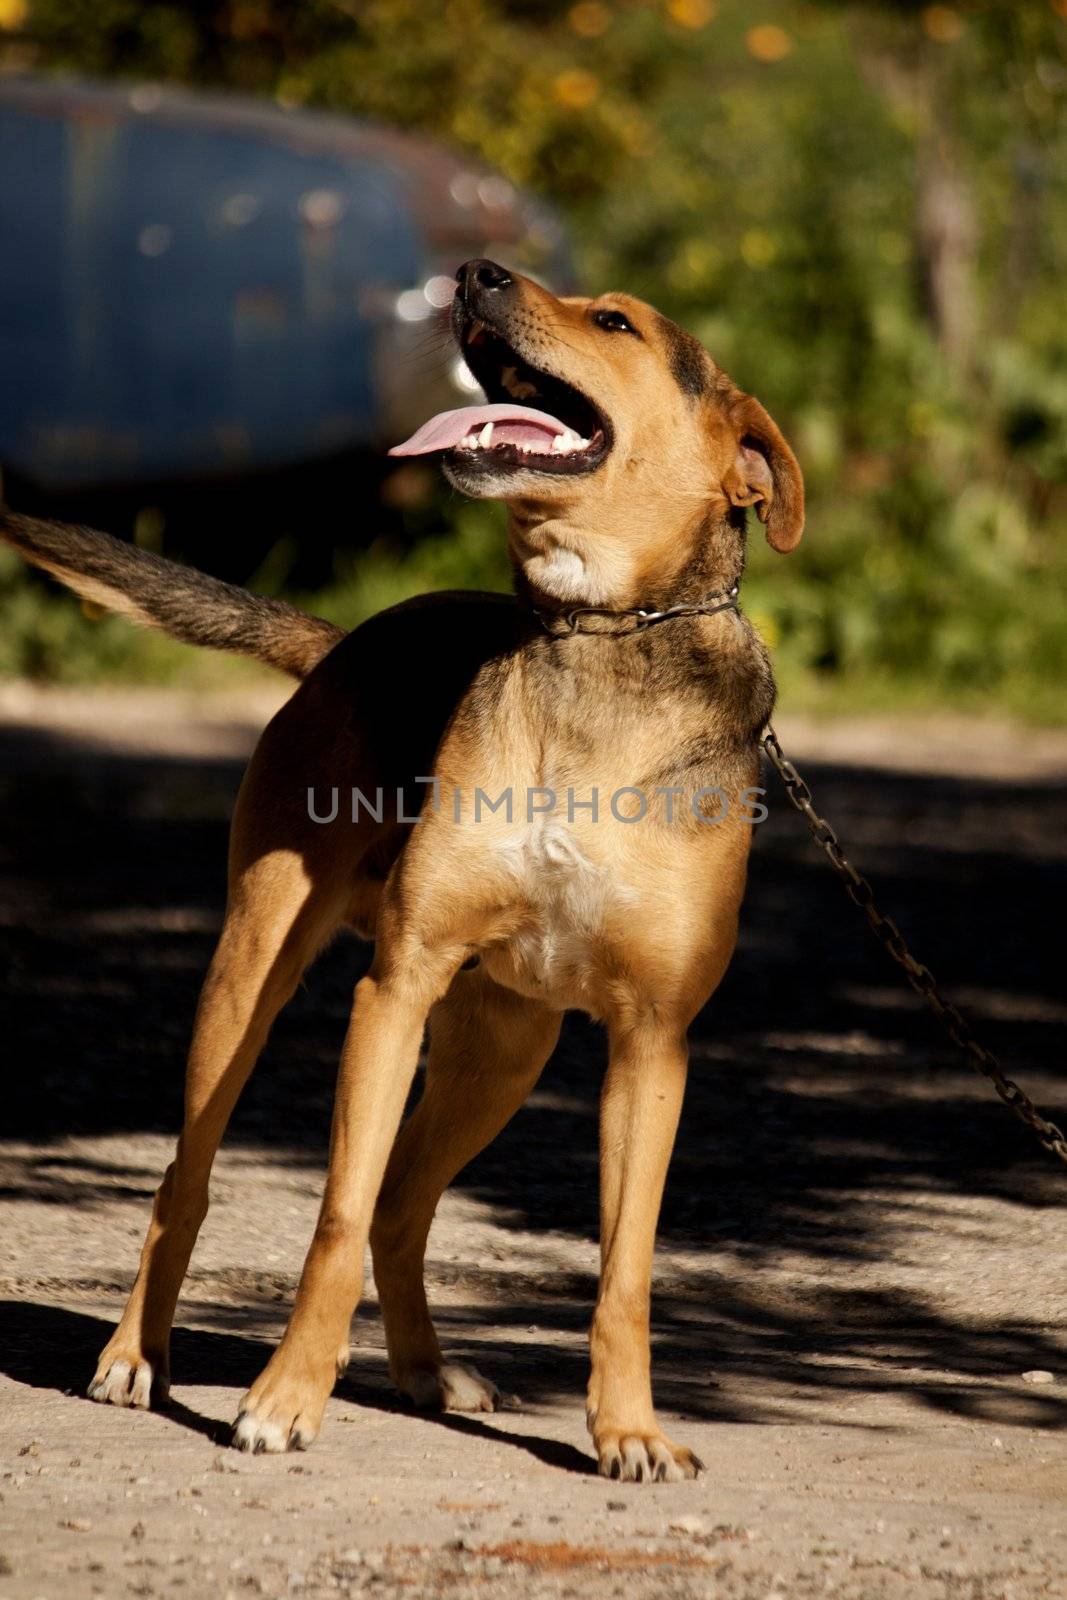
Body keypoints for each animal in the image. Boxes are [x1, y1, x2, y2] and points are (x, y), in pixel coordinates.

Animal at [0, 259, 799, 1472]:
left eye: (615, 322)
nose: (476, 272)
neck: (598, 637)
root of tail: (342, 642)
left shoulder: (651, 1046)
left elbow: (622, 1271)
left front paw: (628, 1429)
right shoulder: (395, 985)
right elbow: (331, 1216)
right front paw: (286, 1397)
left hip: (503, 1052)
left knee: (404, 1209)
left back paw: (425, 1372)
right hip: (251, 979)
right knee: (192, 1181)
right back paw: (137, 1355)